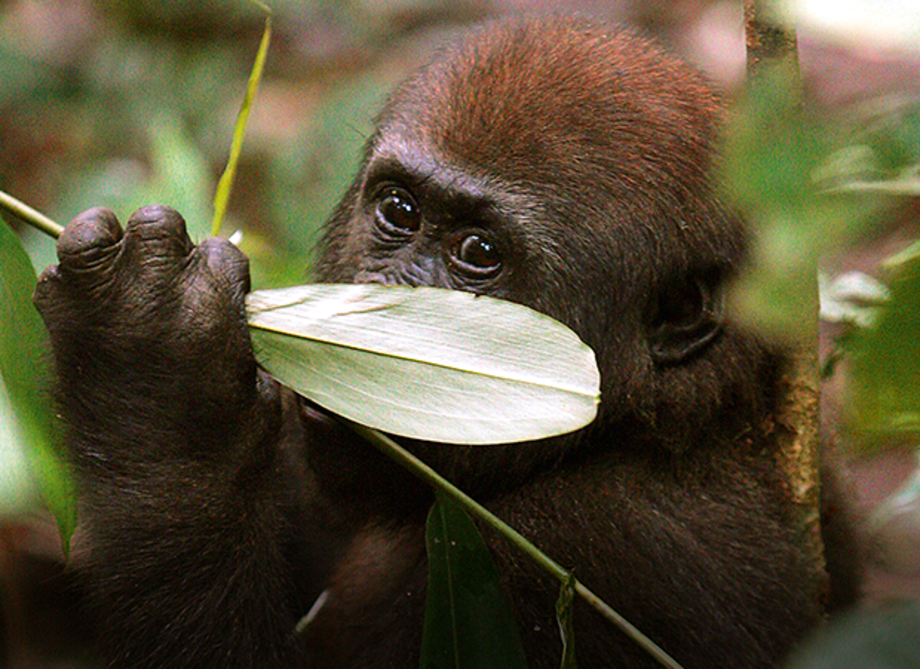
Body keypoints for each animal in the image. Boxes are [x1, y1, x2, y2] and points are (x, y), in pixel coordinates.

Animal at [33, 13, 860, 669]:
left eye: (480, 254)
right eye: (399, 210)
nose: (365, 314)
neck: (665, 422)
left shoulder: (590, 551)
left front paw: (153, 375)